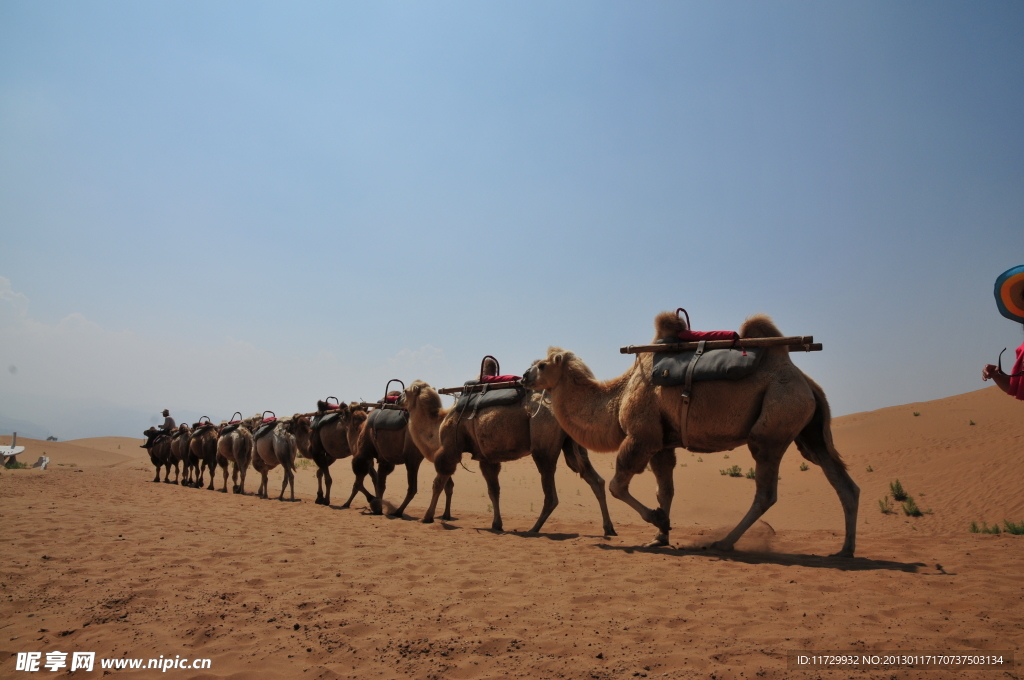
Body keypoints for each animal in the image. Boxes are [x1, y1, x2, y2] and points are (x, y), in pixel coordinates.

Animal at [409, 368, 614, 532]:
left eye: (405, 392)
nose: (400, 401)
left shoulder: (450, 446)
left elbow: (438, 483)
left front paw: (427, 517)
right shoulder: (487, 457)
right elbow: (494, 490)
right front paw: (496, 524)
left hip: (543, 444)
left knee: (551, 493)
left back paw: (534, 529)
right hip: (572, 442)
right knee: (594, 479)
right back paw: (608, 528)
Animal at [524, 311, 860, 557]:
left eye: (542, 365)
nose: (525, 376)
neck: (618, 397)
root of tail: (806, 382)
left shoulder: (641, 437)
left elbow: (618, 486)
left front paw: (659, 520)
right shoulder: (662, 443)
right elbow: (665, 490)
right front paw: (660, 536)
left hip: (774, 423)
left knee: (766, 490)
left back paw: (724, 543)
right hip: (808, 432)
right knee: (843, 483)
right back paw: (845, 550)